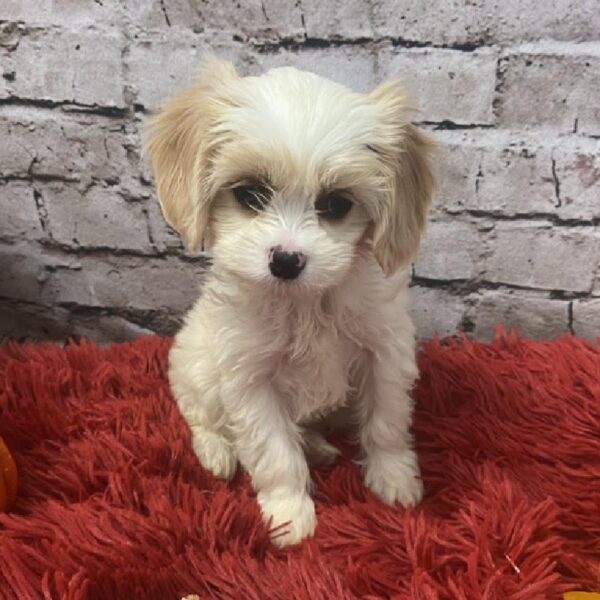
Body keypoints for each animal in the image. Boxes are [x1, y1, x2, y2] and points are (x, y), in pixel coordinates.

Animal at [145, 58, 436, 548]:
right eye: (250, 194)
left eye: (336, 204)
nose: (285, 260)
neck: (305, 305)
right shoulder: (250, 380)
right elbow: (274, 451)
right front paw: (288, 515)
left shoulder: (385, 352)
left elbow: (386, 422)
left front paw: (395, 479)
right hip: (197, 367)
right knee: (199, 415)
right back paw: (218, 452)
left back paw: (317, 447)